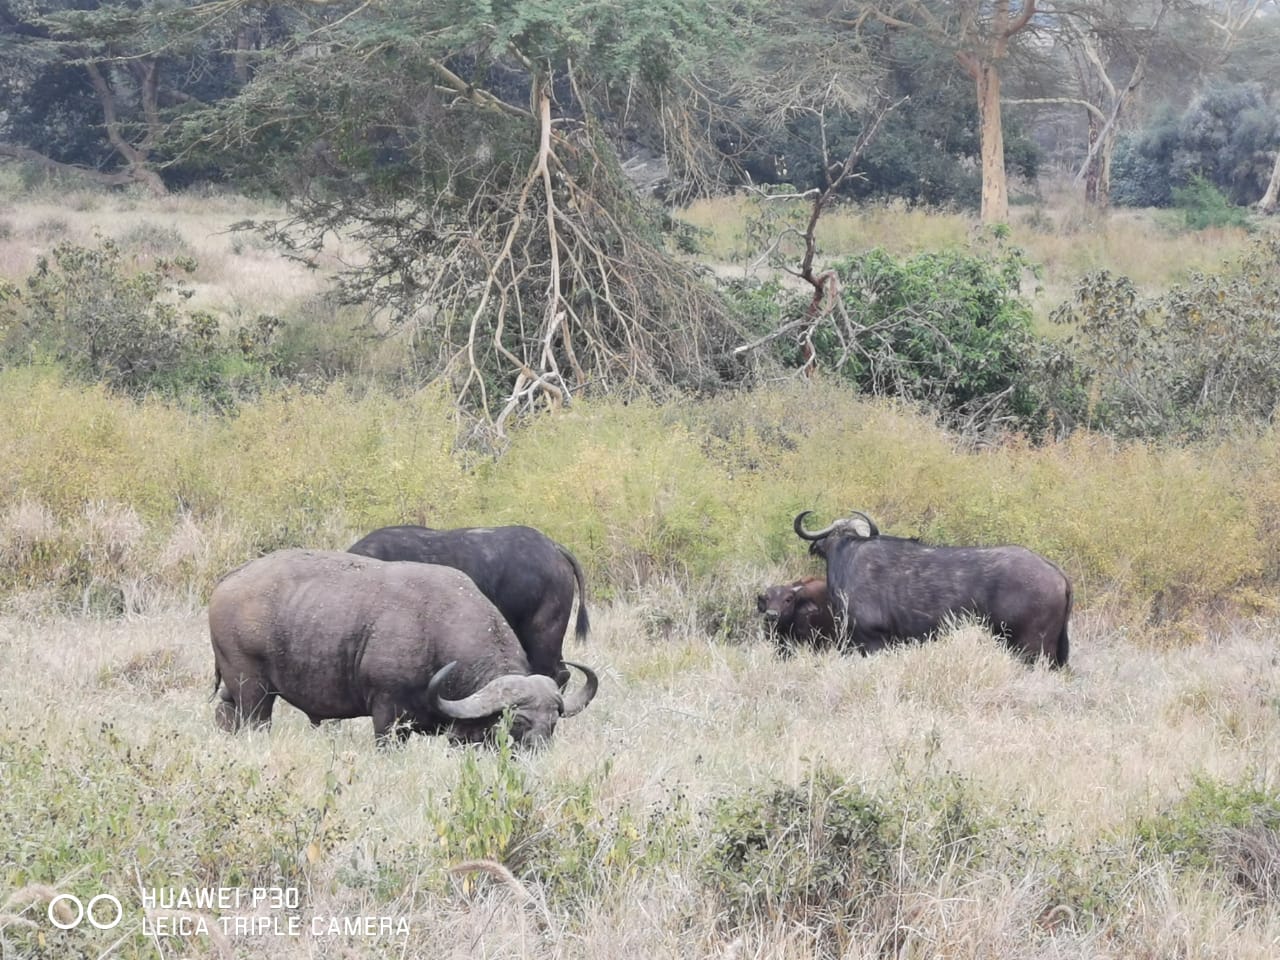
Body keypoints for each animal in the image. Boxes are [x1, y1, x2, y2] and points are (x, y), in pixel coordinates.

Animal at [209, 549, 598, 747]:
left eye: (553, 723)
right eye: (517, 722)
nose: (538, 751)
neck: (436, 630)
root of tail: (227, 580)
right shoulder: (387, 717)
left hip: (235, 688)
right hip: (253, 690)